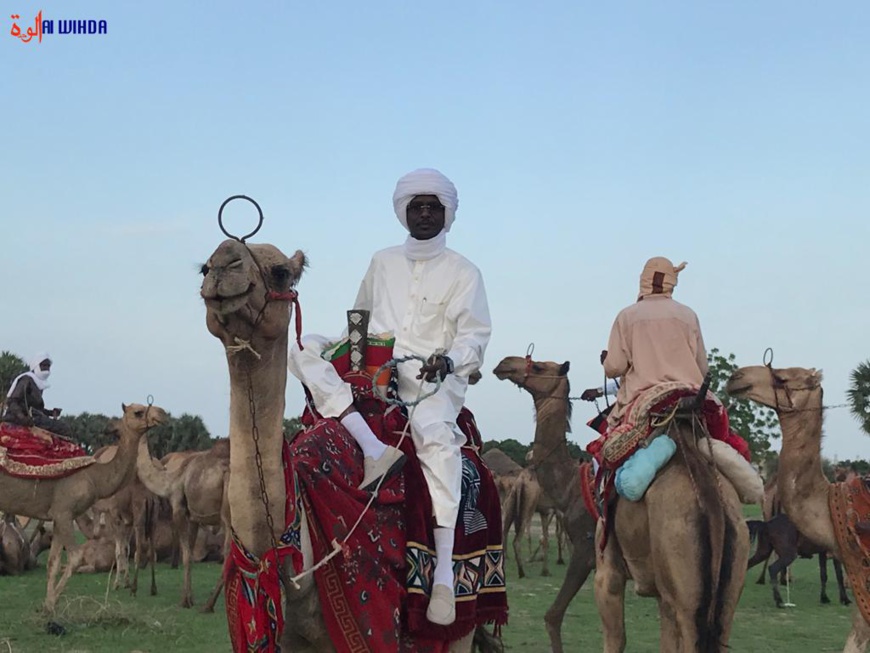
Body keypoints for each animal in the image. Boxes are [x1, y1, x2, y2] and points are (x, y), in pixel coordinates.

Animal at [0, 402, 165, 612]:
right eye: (138, 412)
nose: (163, 414)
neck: (94, 477)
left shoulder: (58, 516)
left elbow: (53, 562)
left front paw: (47, 606)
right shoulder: (64, 512)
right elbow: (75, 557)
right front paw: (52, 604)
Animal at [137, 436, 230, 608]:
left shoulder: (178, 509)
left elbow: (186, 555)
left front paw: (184, 601)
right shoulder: (193, 517)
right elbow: (191, 552)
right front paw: (189, 597)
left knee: (228, 552)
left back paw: (209, 605)